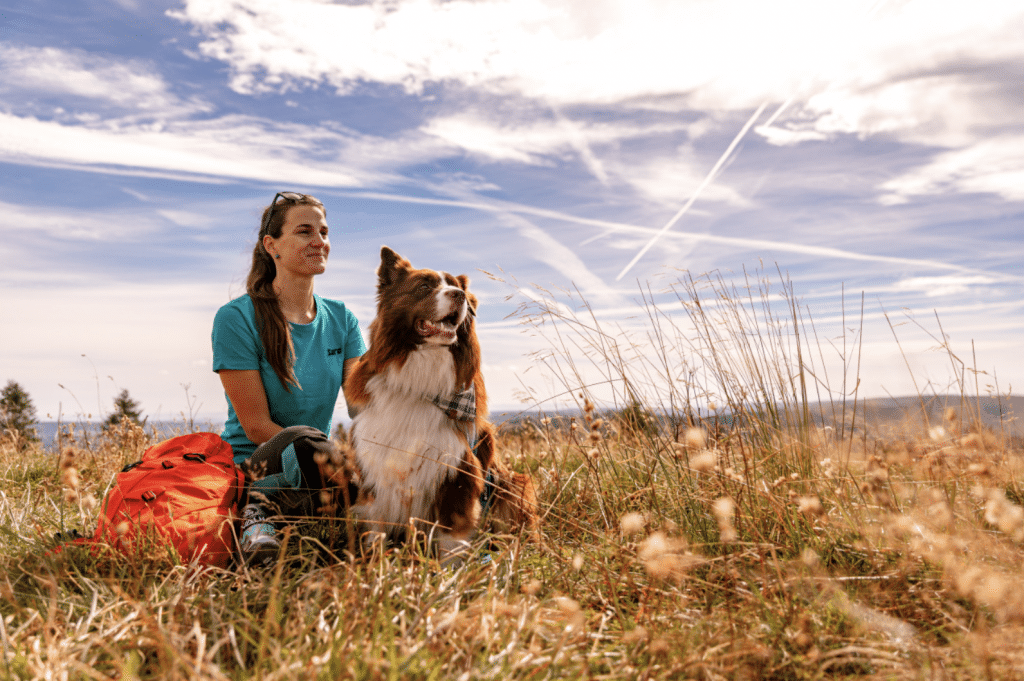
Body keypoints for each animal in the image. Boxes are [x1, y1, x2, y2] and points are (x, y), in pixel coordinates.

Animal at [344, 246, 536, 561]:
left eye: (459, 288)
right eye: (424, 287)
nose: (459, 295)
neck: (420, 379)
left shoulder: (459, 471)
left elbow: (451, 539)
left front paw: (449, 572)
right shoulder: (375, 469)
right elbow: (375, 530)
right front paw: (375, 565)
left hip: (514, 487)